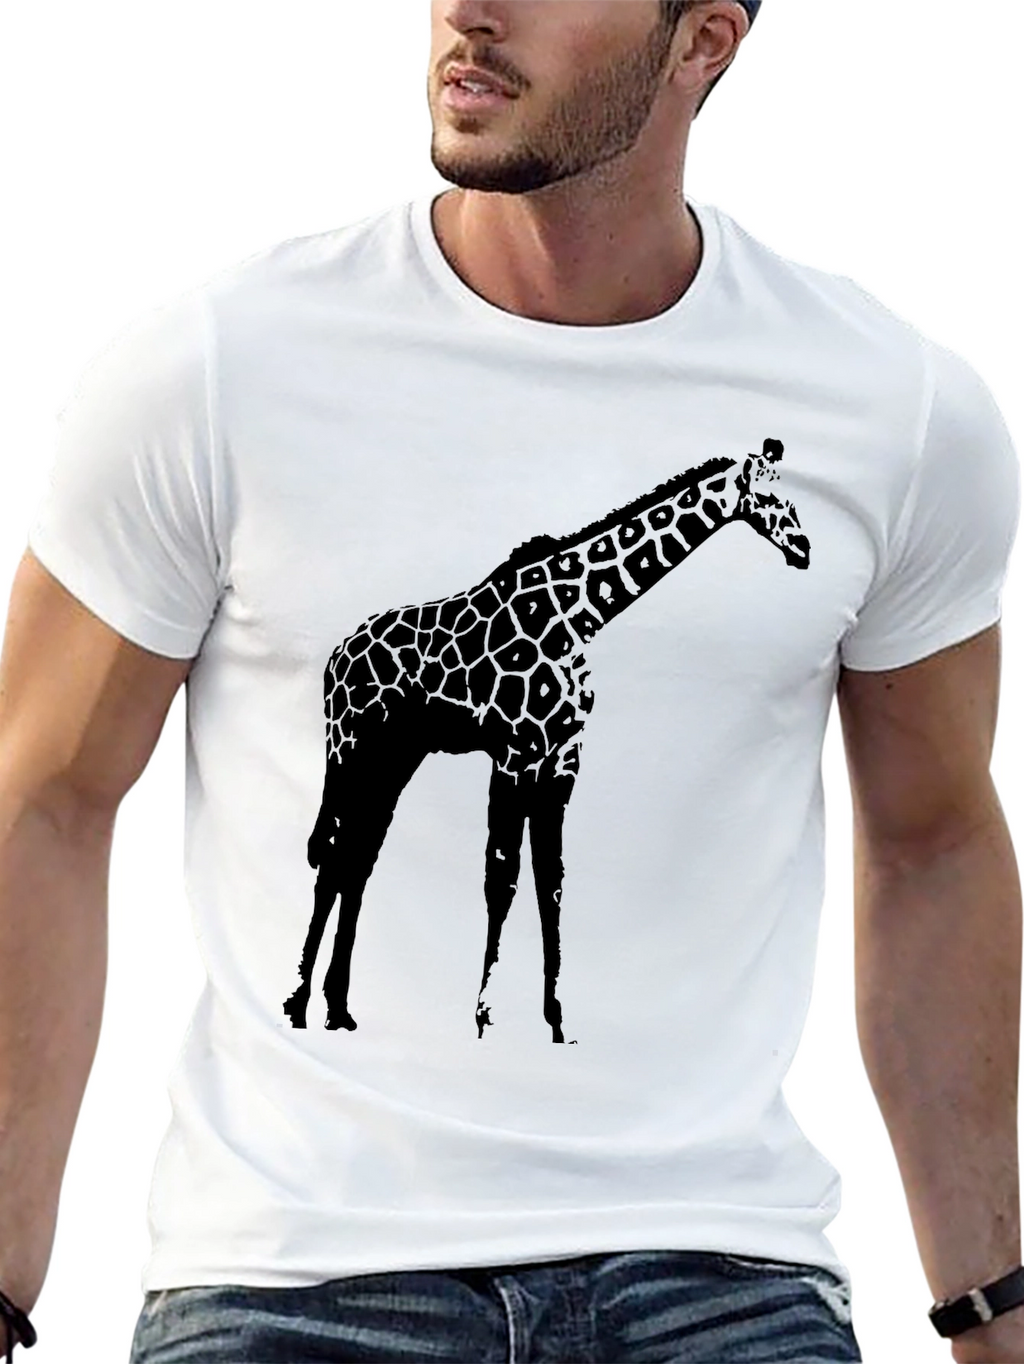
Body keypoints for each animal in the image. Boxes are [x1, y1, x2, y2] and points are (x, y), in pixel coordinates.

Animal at [283, 438, 810, 1042]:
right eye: (768, 497)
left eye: (791, 493)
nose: (804, 549)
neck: (580, 616)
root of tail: (335, 657)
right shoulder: (515, 753)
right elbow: (503, 879)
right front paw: (484, 1016)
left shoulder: (562, 757)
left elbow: (549, 882)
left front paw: (555, 1020)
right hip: (351, 747)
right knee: (333, 858)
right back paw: (299, 1004)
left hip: (394, 758)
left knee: (358, 859)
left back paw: (338, 1008)